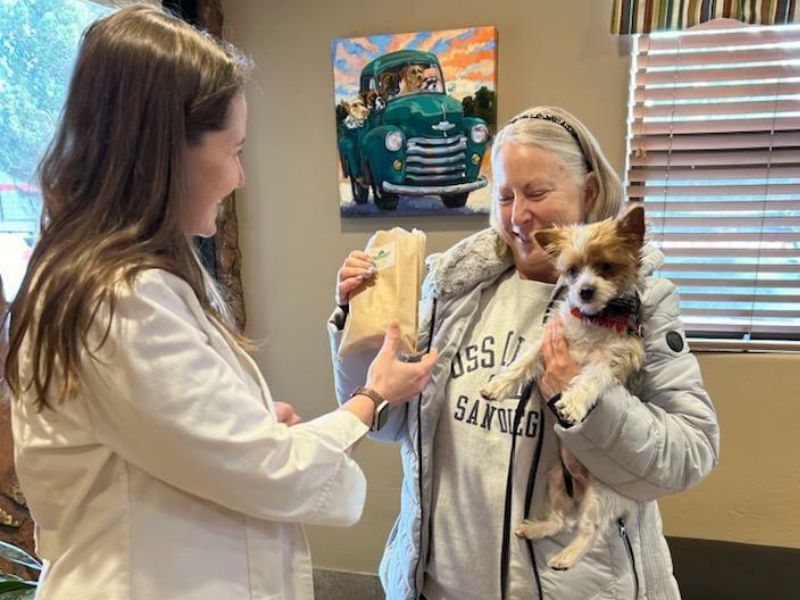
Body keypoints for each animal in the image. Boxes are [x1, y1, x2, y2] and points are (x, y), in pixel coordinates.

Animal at [478, 206, 648, 572]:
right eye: (571, 271)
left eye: (606, 266)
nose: (584, 291)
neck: (594, 319)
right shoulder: (548, 340)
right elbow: (523, 361)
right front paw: (498, 386)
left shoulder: (612, 358)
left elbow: (590, 379)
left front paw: (572, 402)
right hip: (557, 477)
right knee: (560, 521)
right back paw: (536, 528)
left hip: (600, 496)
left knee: (588, 531)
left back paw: (566, 557)